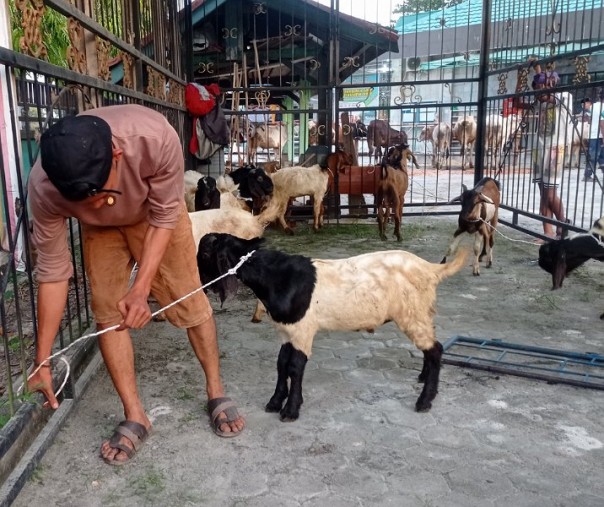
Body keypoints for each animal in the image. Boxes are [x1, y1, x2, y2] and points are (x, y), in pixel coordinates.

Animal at [198, 233, 468, 420]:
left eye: (204, 254)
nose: (201, 283)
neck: (276, 277)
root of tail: (431, 269)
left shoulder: (303, 330)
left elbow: (295, 367)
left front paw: (290, 410)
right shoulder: (286, 330)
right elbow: (281, 364)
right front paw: (275, 402)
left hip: (412, 314)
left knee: (435, 349)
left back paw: (424, 401)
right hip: (420, 314)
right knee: (430, 347)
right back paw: (422, 379)